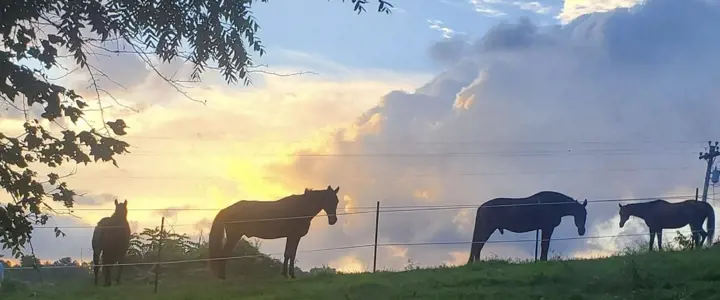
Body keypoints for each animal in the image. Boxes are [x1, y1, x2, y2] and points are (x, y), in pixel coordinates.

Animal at [210, 184, 342, 280]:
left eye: (337, 201)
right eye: (329, 200)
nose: (333, 220)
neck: (300, 208)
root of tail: (226, 209)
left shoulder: (291, 237)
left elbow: (288, 254)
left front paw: (286, 274)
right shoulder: (294, 236)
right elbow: (291, 254)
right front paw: (291, 275)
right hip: (234, 236)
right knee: (224, 253)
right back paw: (222, 277)